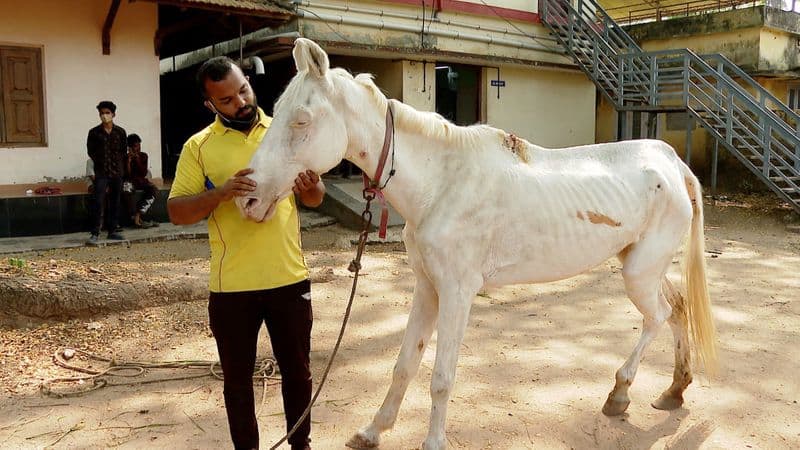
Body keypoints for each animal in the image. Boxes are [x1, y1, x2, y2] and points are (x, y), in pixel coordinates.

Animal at [238, 39, 720, 450]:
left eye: (301, 120)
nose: (248, 198)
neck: (440, 184)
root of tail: (672, 162)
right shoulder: (427, 288)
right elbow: (403, 365)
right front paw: (373, 431)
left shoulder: (457, 292)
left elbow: (441, 377)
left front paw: (432, 442)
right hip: (645, 265)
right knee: (678, 309)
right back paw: (674, 391)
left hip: (638, 272)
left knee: (658, 317)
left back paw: (619, 394)